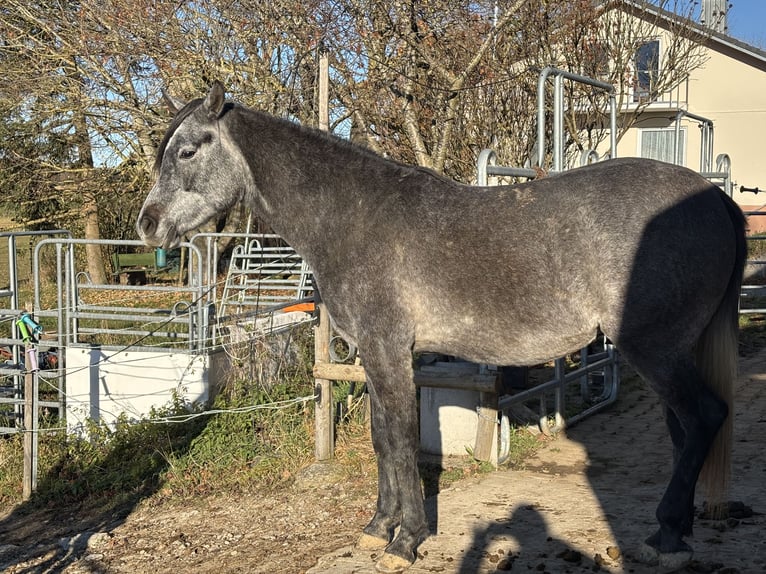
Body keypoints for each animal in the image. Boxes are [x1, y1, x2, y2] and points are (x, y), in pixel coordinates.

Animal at [137, 81, 746, 573]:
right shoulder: (378, 356)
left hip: (654, 349)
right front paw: (377, 529)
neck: (353, 218)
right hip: (671, 352)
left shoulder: (389, 352)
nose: (146, 225)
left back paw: (666, 534)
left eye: (187, 150)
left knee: (703, 417)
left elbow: (403, 441)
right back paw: (672, 534)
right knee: (685, 429)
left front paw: (406, 541)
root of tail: (716, 200)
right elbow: (382, 439)